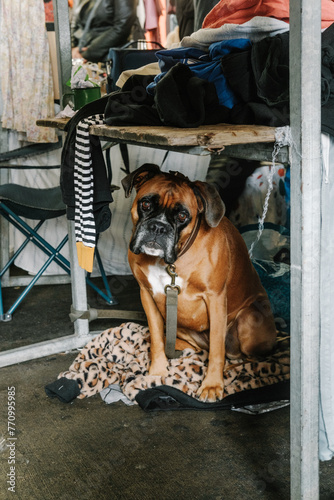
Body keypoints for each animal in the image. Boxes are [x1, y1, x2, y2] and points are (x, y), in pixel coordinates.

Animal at [122, 164, 276, 402]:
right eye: (145, 204)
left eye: (182, 215)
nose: (158, 227)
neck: (172, 261)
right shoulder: (146, 295)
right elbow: (156, 339)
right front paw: (157, 371)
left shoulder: (216, 298)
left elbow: (216, 350)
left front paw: (212, 385)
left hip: (248, 319)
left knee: (240, 355)